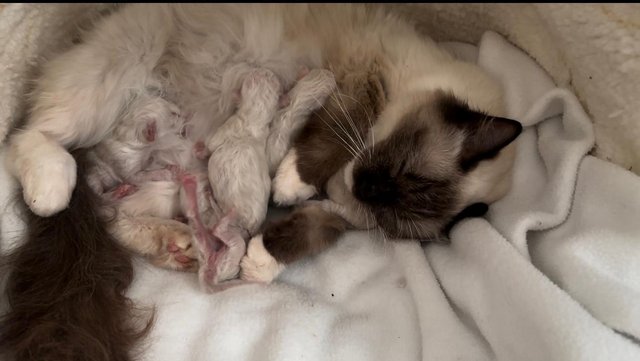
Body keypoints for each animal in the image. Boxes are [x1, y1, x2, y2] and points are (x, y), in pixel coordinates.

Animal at [0, 3, 520, 360]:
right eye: (397, 169)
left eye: (388, 208)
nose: (367, 189)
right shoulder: (362, 79)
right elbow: (333, 131)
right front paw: (291, 182)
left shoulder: (341, 214)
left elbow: (306, 233)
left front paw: (260, 263)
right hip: (109, 84)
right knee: (30, 137)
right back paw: (51, 189)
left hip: (170, 179)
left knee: (113, 211)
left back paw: (178, 246)